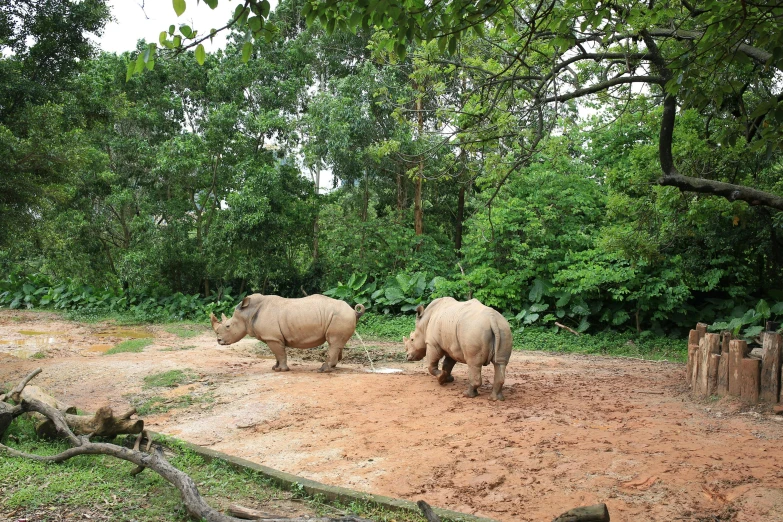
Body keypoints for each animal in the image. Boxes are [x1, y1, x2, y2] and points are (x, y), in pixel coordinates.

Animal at [211, 292, 364, 374]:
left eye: (228, 326)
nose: (219, 341)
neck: (248, 313)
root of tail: (353, 311)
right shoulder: (273, 338)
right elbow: (276, 355)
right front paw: (275, 368)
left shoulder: (273, 338)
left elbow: (280, 353)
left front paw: (282, 370)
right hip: (340, 316)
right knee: (337, 343)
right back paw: (331, 367)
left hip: (340, 316)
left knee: (333, 343)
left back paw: (323, 370)